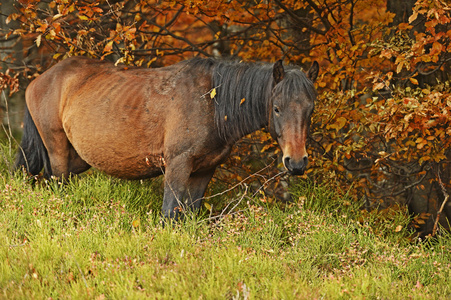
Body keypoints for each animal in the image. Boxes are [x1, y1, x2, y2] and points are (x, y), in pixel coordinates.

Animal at [15, 56, 320, 218]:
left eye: (311, 109)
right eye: (277, 108)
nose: (296, 163)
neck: (211, 103)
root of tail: (40, 79)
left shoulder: (204, 171)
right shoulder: (177, 165)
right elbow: (169, 215)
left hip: (78, 158)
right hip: (57, 152)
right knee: (57, 184)